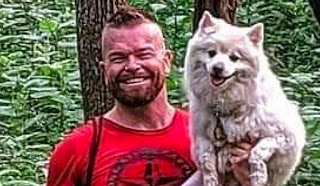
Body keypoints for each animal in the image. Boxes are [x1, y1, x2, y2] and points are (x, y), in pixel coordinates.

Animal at [184, 10, 304, 186]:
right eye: (211, 53)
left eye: (234, 57)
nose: (217, 68)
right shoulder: (201, 136)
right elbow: (206, 160)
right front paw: (211, 179)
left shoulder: (284, 137)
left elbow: (257, 151)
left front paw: (258, 175)